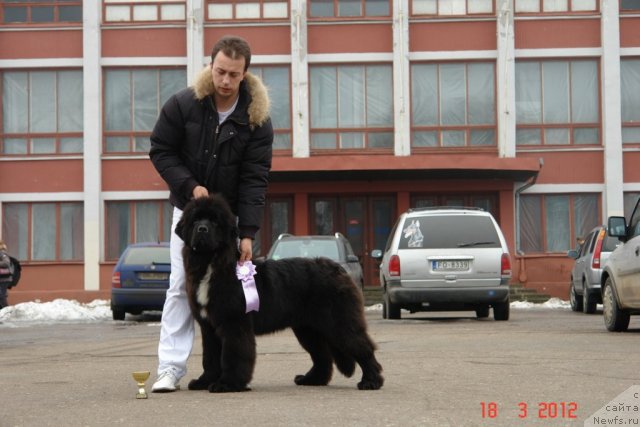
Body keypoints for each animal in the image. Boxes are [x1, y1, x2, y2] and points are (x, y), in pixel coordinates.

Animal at [175, 196, 382, 392]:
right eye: (195, 220)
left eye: (215, 221)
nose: (202, 229)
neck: (210, 264)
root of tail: (337, 269)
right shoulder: (209, 326)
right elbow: (210, 357)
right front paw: (204, 381)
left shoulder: (234, 323)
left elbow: (233, 355)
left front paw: (227, 384)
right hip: (308, 328)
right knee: (322, 356)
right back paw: (312, 379)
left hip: (338, 321)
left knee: (362, 347)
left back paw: (371, 381)